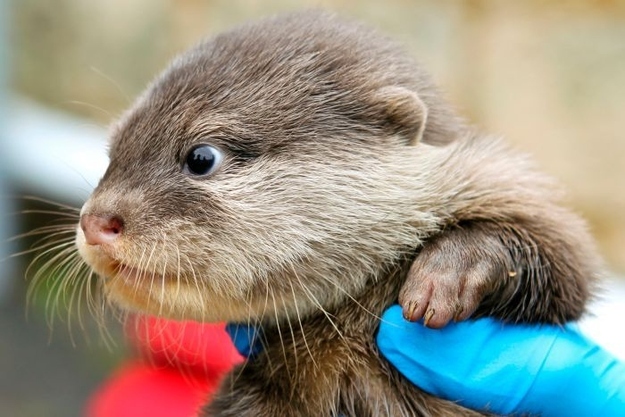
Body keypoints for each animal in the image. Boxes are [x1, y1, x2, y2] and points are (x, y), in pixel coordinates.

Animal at [74, 11, 600, 414]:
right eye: (113, 149)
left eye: (202, 157)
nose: (97, 223)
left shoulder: (507, 187)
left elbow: (564, 262)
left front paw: (446, 277)